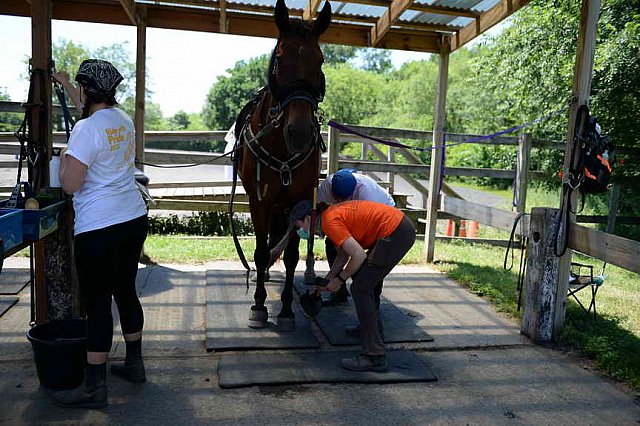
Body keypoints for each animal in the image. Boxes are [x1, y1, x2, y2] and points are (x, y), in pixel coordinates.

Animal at [231, 0, 332, 332]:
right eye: (279, 59)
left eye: (320, 60)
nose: (299, 132)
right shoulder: (259, 201)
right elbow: (262, 252)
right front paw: (259, 306)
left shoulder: (297, 201)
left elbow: (291, 256)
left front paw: (287, 310)